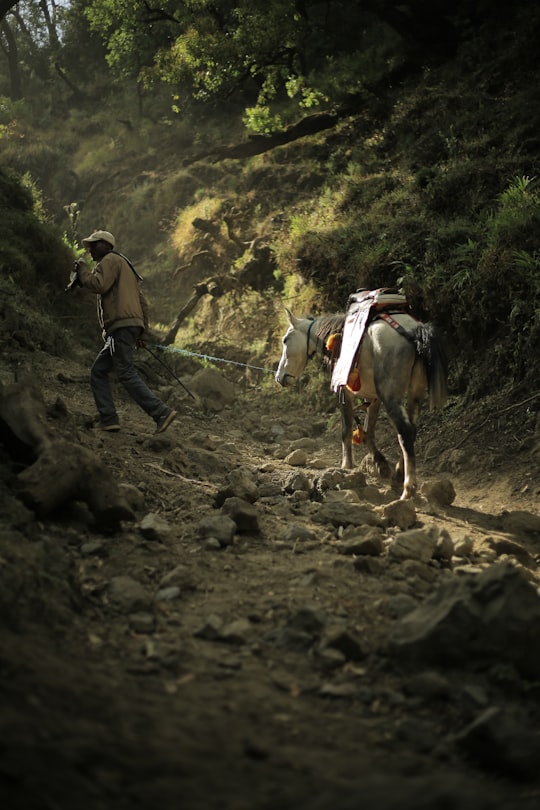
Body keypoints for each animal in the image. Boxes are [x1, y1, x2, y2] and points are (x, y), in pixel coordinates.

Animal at [276, 308, 450, 498]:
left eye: (285, 340)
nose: (279, 377)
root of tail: (414, 331)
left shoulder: (344, 392)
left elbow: (346, 431)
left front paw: (346, 466)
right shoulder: (373, 398)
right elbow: (368, 431)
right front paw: (380, 464)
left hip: (391, 396)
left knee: (405, 430)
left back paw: (408, 489)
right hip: (414, 395)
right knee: (412, 430)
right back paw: (398, 476)